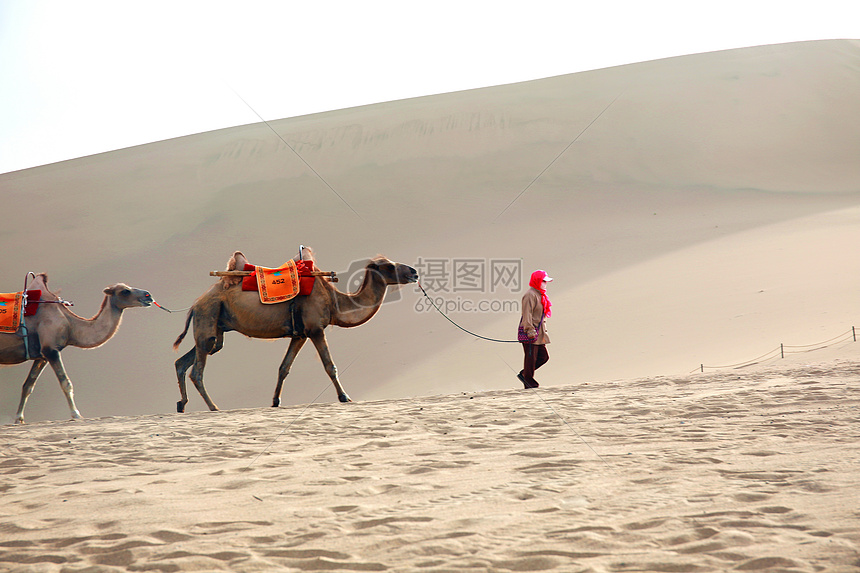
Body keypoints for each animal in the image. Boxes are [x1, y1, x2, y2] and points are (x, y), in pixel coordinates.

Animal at [0, 272, 153, 424]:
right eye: (125, 291)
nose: (148, 296)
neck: (70, 325)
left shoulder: (42, 355)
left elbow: (28, 386)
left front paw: (19, 419)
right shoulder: (51, 350)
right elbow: (66, 383)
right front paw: (76, 415)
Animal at [172, 250, 420, 412]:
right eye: (389, 266)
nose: (414, 272)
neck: (334, 301)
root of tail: (195, 304)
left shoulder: (300, 334)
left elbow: (284, 368)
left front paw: (275, 401)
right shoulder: (315, 329)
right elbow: (330, 366)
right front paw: (344, 397)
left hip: (215, 329)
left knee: (183, 362)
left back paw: (181, 405)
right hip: (208, 317)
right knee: (197, 371)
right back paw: (214, 407)